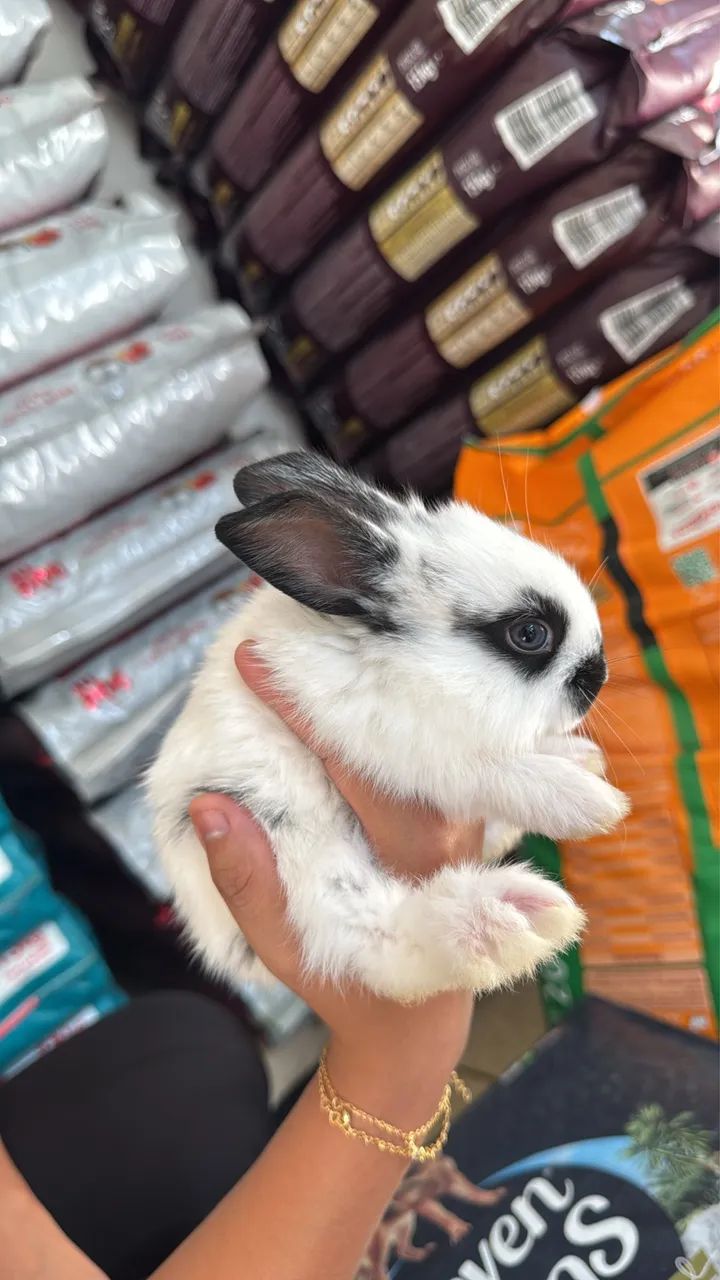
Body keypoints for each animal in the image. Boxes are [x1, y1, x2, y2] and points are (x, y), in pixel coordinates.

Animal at [147, 451, 629, 1002]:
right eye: (530, 634)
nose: (599, 675)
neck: (396, 663)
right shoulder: (417, 754)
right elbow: (502, 773)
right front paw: (590, 803)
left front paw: (582, 758)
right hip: (294, 846)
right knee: (368, 943)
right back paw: (509, 917)